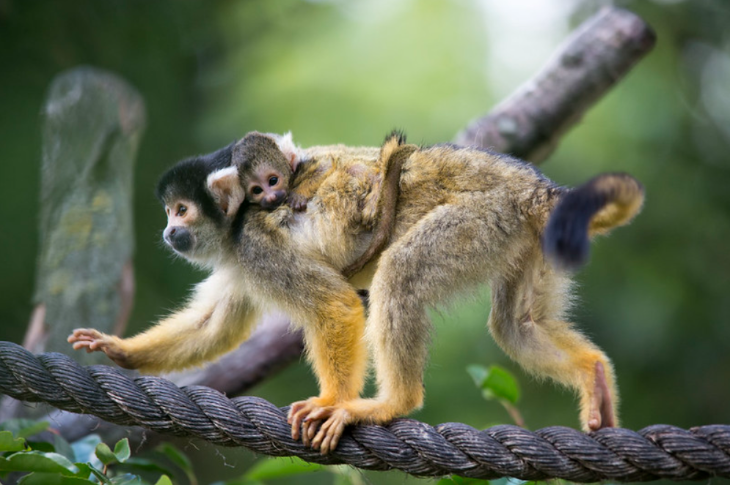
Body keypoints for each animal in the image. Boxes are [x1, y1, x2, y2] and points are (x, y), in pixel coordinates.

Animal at [69, 132, 644, 455]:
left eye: (181, 211)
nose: (169, 231)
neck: (236, 224)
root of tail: (534, 187)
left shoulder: (254, 244)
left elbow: (336, 306)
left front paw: (334, 403)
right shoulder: (239, 256)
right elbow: (218, 325)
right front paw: (118, 349)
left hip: (483, 217)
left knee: (402, 275)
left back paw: (391, 404)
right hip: (527, 234)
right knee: (516, 324)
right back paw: (592, 375)